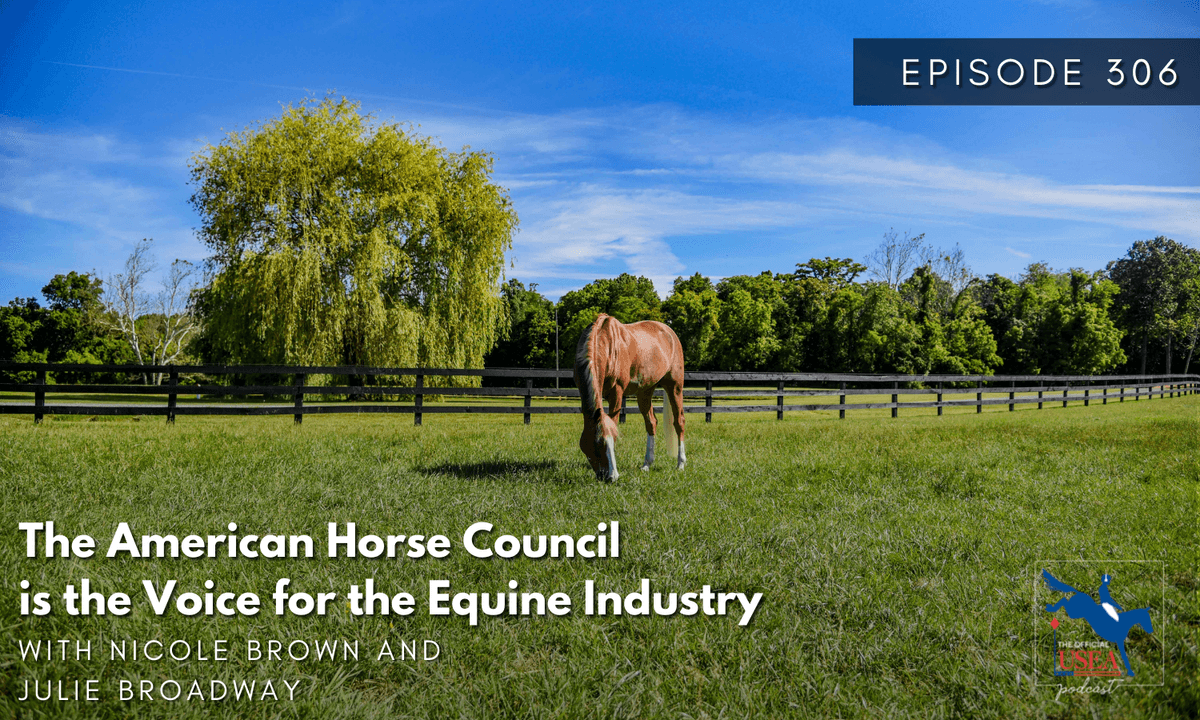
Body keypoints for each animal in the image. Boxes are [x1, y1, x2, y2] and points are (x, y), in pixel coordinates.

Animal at [573, 313, 686, 481]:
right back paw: (647, 464)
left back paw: (680, 464)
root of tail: (670, 332)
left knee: (679, 422)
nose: (611, 477)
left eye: (613, 439)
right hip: (645, 391)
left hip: (675, 386)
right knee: (651, 423)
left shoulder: (617, 392)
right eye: (597, 445)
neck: (605, 343)